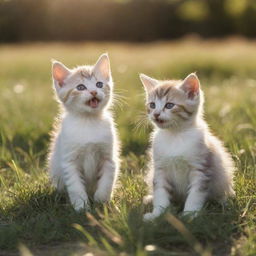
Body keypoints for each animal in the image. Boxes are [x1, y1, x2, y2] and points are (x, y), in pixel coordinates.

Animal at [48, 53, 120, 211]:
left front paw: (102, 202)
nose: (93, 91)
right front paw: (82, 207)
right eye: (80, 87)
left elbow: (107, 181)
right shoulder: (69, 162)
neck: (88, 121)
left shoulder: (109, 158)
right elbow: (75, 187)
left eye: (99, 84)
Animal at [140, 72, 234, 220]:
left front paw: (189, 215)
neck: (175, 135)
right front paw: (158, 214)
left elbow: (195, 194)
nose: (156, 114)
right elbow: (160, 192)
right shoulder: (160, 169)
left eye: (169, 105)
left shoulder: (201, 168)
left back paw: (222, 202)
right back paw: (150, 198)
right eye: (152, 105)